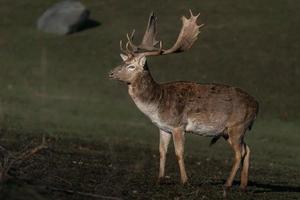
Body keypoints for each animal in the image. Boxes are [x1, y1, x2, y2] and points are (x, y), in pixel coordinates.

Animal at [109, 10, 258, 192]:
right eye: (124, 61)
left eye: (131, 66)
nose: (111, 73)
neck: (158, 103)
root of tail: (257, 106)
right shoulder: (163, 127)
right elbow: (162, 151)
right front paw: (159, 179)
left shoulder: (178, 125)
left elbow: (179, 153)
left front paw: (185, 181)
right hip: (228, 131)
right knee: (247, 149)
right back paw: (243, 185)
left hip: (237, 126)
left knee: (239, 153)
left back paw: (228, 184)